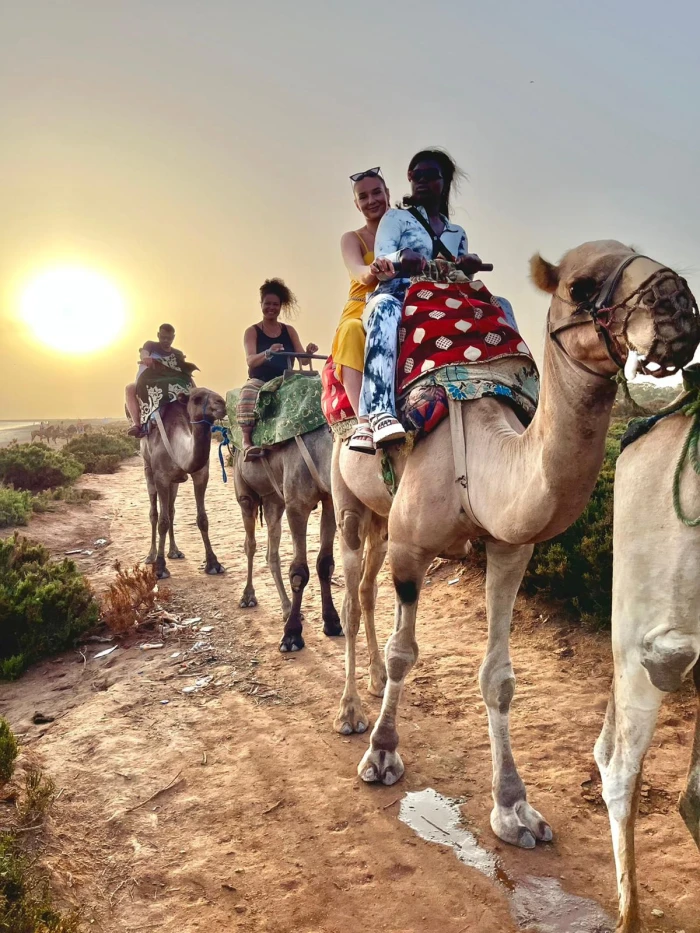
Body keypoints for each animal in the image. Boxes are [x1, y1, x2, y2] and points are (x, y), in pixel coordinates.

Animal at [141, 387, 227, 579]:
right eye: (196, 399)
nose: (222, 403)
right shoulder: (161, 478)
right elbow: (162, 521)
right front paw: (160, 568)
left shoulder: (201, 474)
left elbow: (202, 518)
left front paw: (214, 564)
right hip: (148, 471)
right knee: (154, 513)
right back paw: (151, 556)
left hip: (175, 483)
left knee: (171, 510)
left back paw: (174, 551)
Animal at [234, 424, 342, 651]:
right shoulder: (296, 506)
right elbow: (299, 571)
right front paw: (291, 636)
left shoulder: (329, 499)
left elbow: (325, 563)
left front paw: (332, 622)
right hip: (246, 495)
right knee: (250, 544)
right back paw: (248, 596)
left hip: (273, 501)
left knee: (271, 553)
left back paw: (287, 608)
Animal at [332, 240, 699, 856]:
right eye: (580, 286)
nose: (679, 306)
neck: (482, 456)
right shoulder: (411, 546)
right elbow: (408, 651)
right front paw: (382, 754)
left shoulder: (509, 547)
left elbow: (499, 679)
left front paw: (515, 810)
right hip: (347, 500)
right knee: (349, 595)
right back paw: (351, 712)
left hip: (382, 516)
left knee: (362, 592)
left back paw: (375, 685)